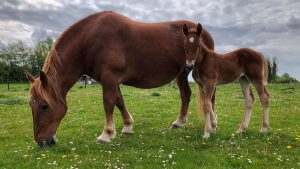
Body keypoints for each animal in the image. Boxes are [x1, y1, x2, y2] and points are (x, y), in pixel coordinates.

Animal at [24, 11, 214, 147]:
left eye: (45, 106)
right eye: (31, 105)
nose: (41, 142)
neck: (90, 40)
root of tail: (204, 32)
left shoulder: (109, 77)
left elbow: (108, 103)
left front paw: (106, 134)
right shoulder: (111, 80)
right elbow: (119, 101)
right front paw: (127, 126)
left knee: (207, 98)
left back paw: (209, 124)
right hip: (182, 74)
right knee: (186, 95)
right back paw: (180, 123)